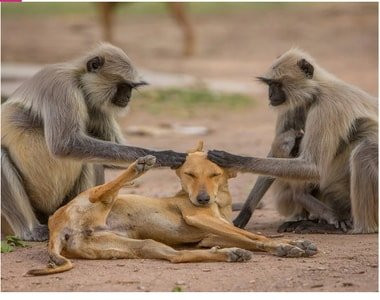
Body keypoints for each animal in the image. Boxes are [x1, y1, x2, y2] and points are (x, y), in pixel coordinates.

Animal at [1, 43, 186, 241]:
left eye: (130, 88)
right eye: (123, 86)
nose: (128, 97)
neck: (79, 82)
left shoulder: (96, 106)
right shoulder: (61, 85)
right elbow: (65, 145)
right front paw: (165, 155)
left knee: (92, 159)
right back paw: (31, 230)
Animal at [26, 142, 318, 276]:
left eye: (214, 175)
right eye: (189, 174)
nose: (202, 199)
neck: (219, 203)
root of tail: (56, 228)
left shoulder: (210, 234)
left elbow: (250, 236)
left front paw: (296, 242)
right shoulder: (200, 219)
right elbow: (256, 236)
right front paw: (283, 246)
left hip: (141, 245)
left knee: (177, 257)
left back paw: (230, 254)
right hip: (96, 198)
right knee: (104, 190)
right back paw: (139, 165)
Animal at [209, 47, 378, 234]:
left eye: (277, 84)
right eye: (269, 84)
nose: (270, 94)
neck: (316, 92)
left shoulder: (328, 107)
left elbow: (313, 166)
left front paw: (234, 160)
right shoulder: (296, 105)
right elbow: (275, 153)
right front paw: (244, 214)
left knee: (364, 150)